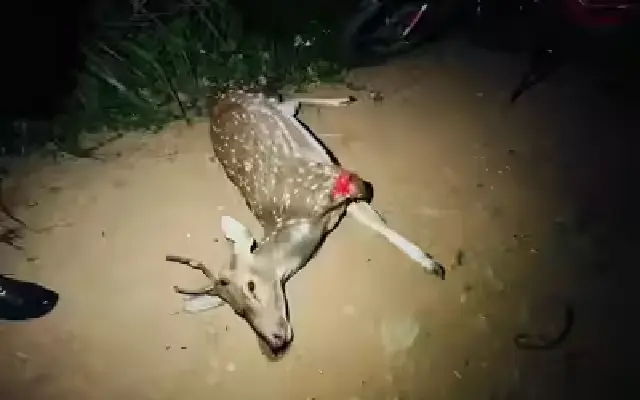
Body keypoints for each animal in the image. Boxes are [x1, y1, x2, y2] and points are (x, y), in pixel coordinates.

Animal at [166, 90, 445, 355]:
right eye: (237, 310)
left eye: (251, 286)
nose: (275, 342)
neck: (305, 224)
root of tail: (220, 97)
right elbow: (378, 224)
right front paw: (432, 264)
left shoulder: (334, 182)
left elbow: (374, 212)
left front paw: (434, 265)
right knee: (289, 101)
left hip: (260, 98)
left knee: (287, 98)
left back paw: (346, 99)